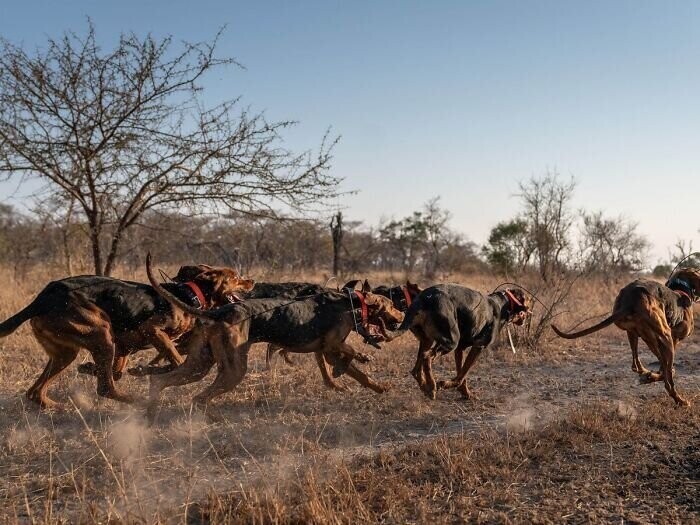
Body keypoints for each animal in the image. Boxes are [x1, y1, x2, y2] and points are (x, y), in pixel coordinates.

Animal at [0, 264, 254, 408]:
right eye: (235, 277)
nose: (252, 280)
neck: (189, 294)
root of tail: (42, 298)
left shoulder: (123, 347)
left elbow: (118, 371)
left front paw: (93, 368)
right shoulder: (152, 330)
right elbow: (176, 361)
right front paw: (148, 370)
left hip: (68, 352)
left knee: (35, 392)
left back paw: (58, 405)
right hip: (102, 334)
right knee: (105, 389)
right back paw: (135, 401)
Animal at [552, 268, 700, 408]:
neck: (681, 291)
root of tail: (630, 300)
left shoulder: (655, 339)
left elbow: (662, 367)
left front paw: (651, 376)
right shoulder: (672, 340)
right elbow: (666, 370)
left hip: (635, 333)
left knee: (637, 365)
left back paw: (647, 375)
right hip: (665, 336)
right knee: (668, 381)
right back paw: (680, 400)